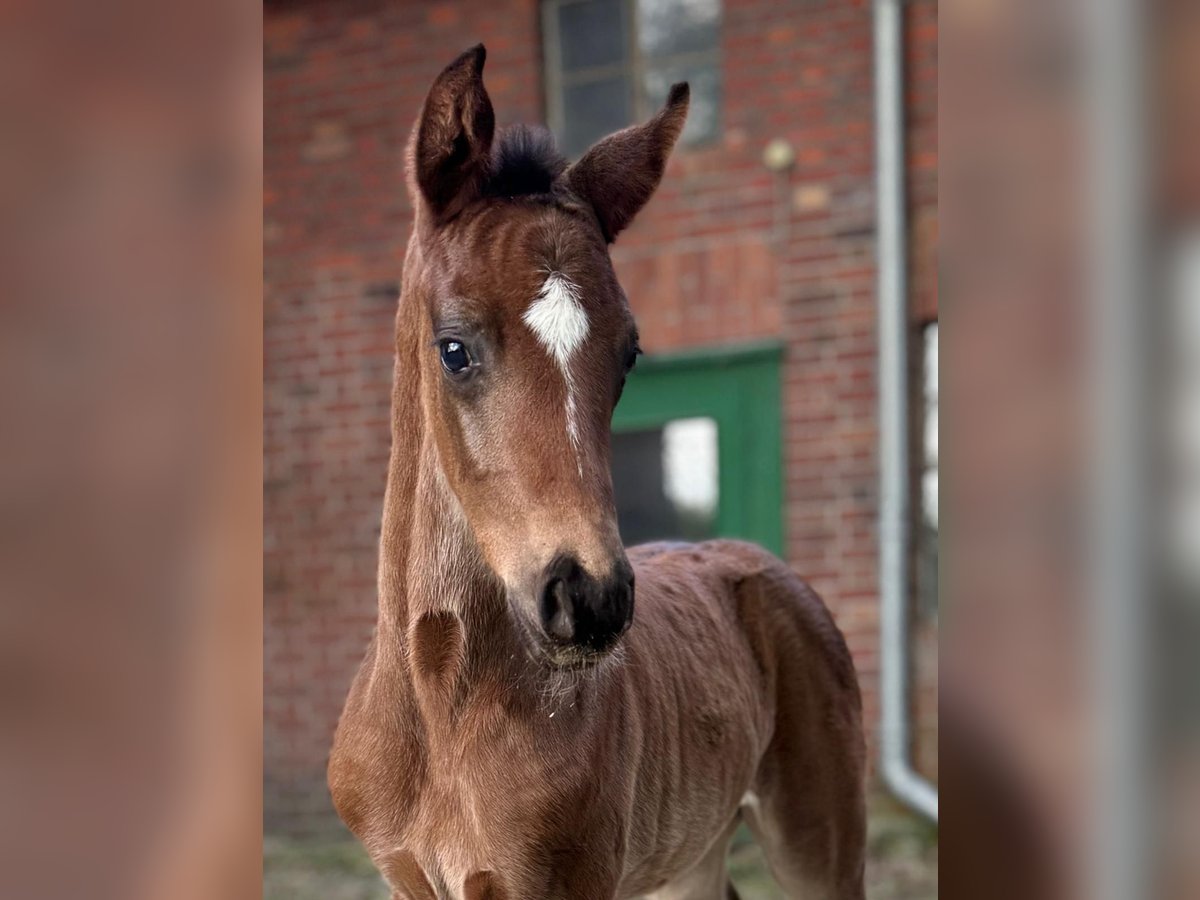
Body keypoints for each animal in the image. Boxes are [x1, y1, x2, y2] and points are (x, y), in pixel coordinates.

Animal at [328, 45, 868, 897]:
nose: (590, 599)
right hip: (691, 853)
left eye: (629, 354)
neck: (440, 708)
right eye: (454, 349)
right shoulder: (402, 877)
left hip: (818, 836)